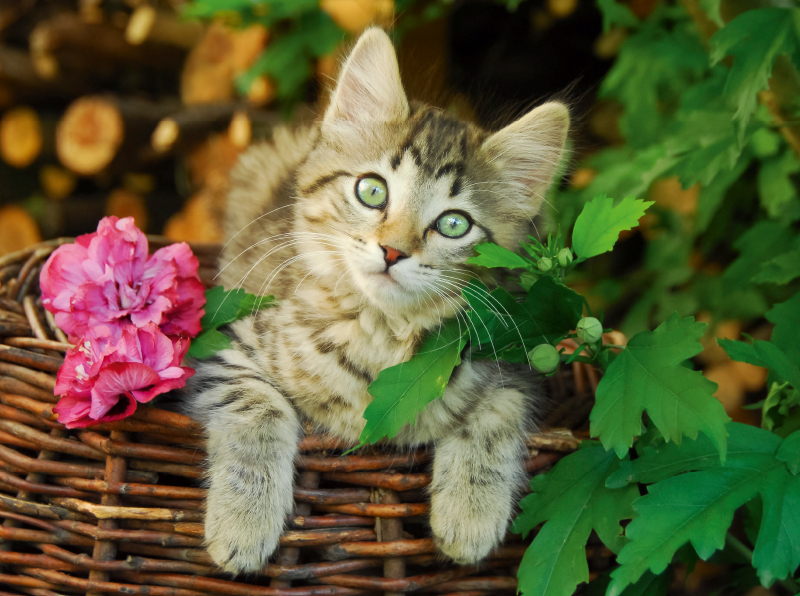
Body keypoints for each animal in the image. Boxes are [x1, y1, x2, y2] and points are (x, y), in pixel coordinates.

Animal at [186, 26, 568, 572]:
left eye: (454, 224)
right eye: (372, 191)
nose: (392, 251)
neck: (380, 332)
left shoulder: (517, 364)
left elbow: (495, 417)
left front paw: (470, 514)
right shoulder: (227, 341)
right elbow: (257, 409)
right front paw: (243, 522)